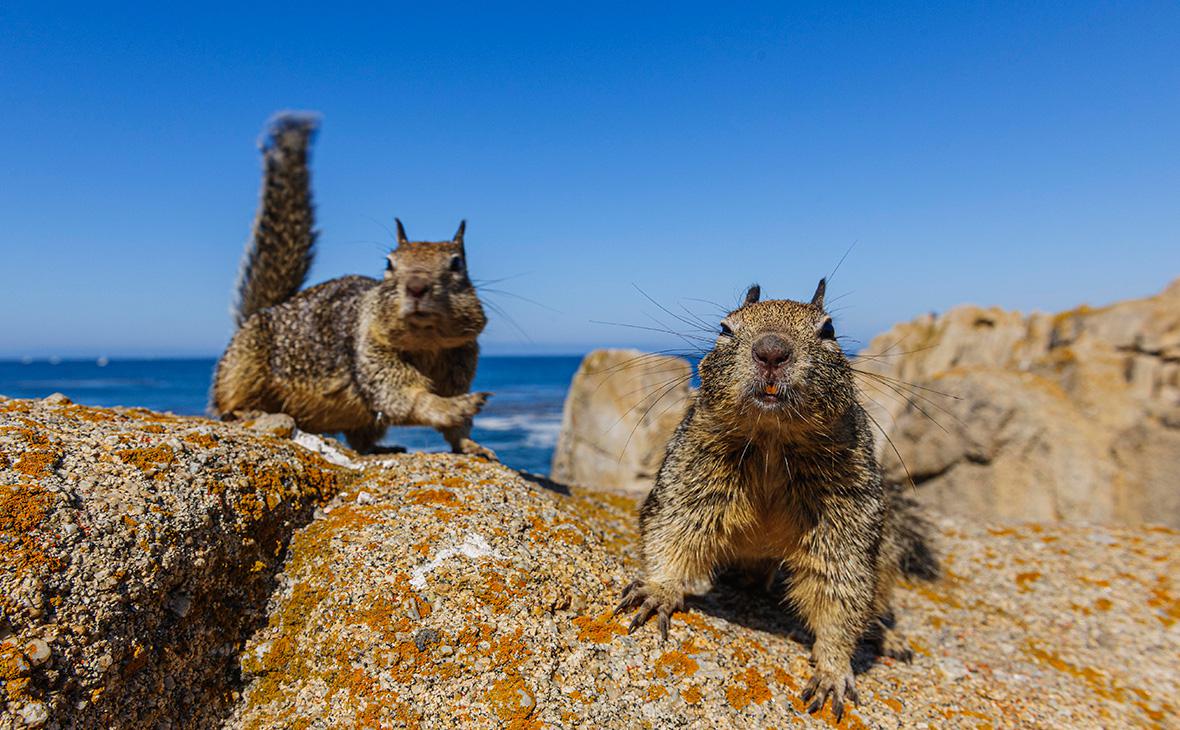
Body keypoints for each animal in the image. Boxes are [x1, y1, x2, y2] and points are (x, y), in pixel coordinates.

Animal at [212, 113, 493, 457]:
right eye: (389, 263)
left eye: (457, 264)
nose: (416, 286)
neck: (426, 344)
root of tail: (264, 310)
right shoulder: (369, 351)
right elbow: (402, 395)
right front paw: (453, 407)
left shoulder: (460, 361)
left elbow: (455, 429)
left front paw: (471, 444)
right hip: (243, 365)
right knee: (228, 402)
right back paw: (248, 411)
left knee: (362, 438)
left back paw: (384, 448)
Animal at [618, 278, 939, 721]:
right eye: (725, 328)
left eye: (829, 330)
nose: (771, 350)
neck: (772, 440)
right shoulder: (691, 470)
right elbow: (674, 528)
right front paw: (659, 589)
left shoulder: (847, 509)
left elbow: (840, 584)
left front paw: (833, 670)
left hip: (886, 556)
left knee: (875, 602)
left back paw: (886, 636)